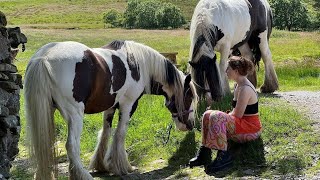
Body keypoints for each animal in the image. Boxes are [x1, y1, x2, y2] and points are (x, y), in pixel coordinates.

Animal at [25, 39, 199, 179]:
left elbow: (106, 133)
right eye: (189, 96)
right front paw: (123, 166)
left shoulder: (110, 107)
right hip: (74, 115)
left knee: (45, 146)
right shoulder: (128, 105)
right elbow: (120, 134)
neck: (138, 63)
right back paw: (83, 175)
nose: (190, 125)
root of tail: (44, 58)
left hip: (47, 112)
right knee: (71, 146)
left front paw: (101, 165)